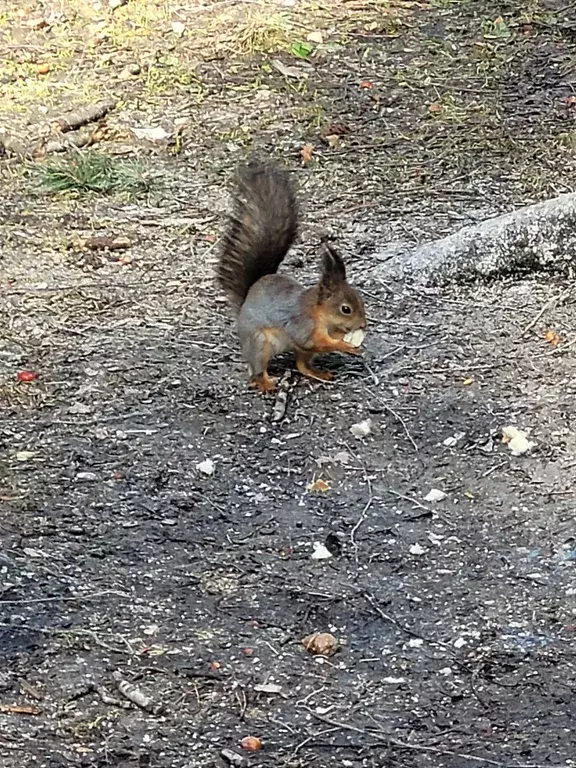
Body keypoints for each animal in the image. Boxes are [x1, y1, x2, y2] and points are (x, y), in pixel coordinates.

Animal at [216, 160, 364, 392]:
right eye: (346, 309)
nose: (363, 325)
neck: (320, 314)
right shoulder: (301, 325)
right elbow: (313, 340)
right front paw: (343, 344)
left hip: (298, 353)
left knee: (302, 365)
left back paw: (318, 373)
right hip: (259, 343)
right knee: (256, 370)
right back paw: (265, 383)